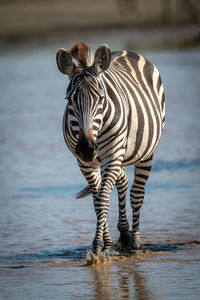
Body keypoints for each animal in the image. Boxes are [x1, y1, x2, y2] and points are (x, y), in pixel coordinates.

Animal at [56, 41, 166, 253]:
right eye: (69, 100)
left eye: (100, 99)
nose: (86, 148)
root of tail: (127, 51)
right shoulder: (85, 163)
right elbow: (97, 201)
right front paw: (106, 243)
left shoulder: (112, 156)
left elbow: (103, 199)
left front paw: (98, 246)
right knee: (122, 181)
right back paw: (124, 234)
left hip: (145, 152)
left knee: (137, 193)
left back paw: (135, 242)